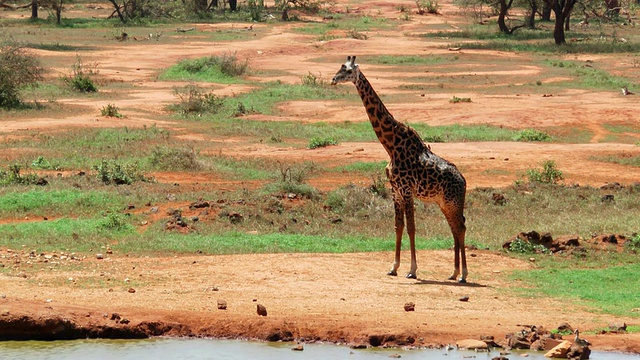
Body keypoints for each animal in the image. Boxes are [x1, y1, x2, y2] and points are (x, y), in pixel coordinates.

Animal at [332, 55, 468, 282]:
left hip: (452, 202)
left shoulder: (406, 190)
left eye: (348, 71)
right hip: (445, 203)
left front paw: (412, 270)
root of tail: (464, 181)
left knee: (461, 227)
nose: (333, 79)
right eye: (340, 67)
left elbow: (411, 228)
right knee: (455, 228)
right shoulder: (395, 190)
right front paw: (393, 267)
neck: (391, 145)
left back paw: (464, 274)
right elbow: (398, 227)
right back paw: (454, 272)